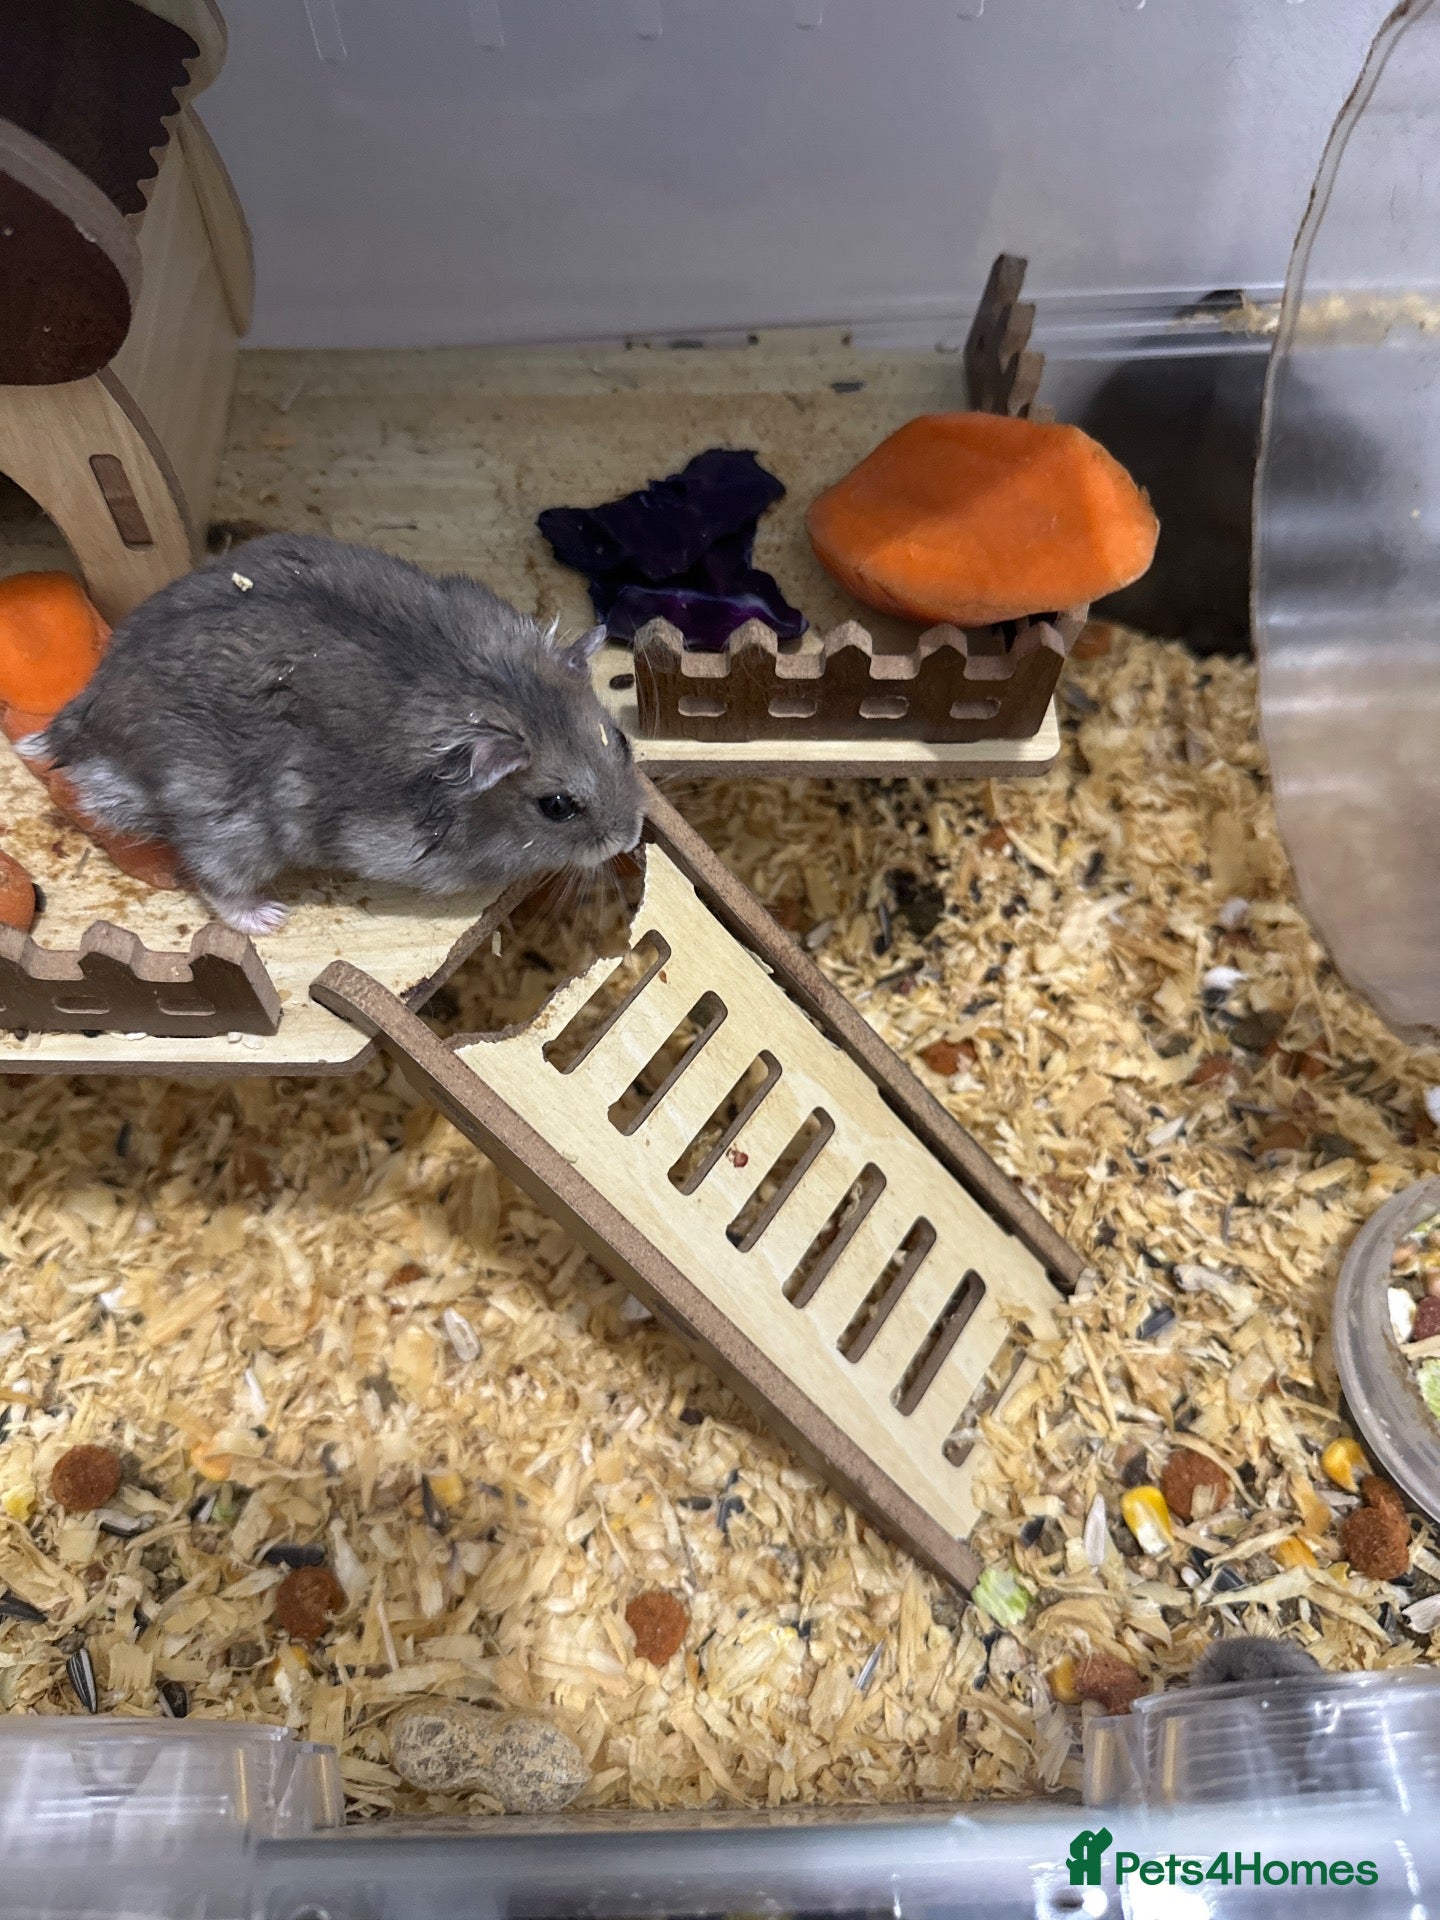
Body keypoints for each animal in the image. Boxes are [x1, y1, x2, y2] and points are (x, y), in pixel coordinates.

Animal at [27, 534, 644, 934]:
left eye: (622, 741)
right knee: (213, 878)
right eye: (557, 806)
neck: (498, 693)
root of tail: (88, 720)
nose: (630, 837)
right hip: (229, 821)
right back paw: (268, 919)